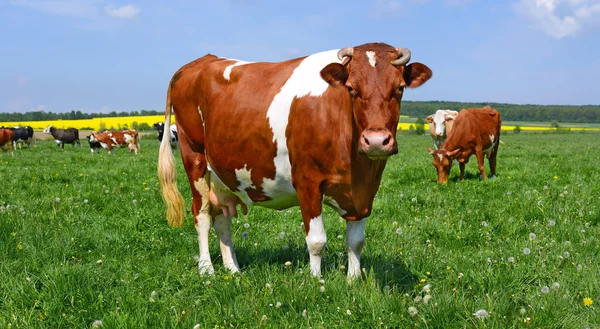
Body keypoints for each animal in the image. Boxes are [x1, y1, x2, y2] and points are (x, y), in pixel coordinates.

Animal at [157, 41, 434, 278]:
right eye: (352, 88)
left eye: (400, 88)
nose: (376, 141)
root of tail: (198, 62)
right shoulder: (307, 182)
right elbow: (316, 240)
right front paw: (316, 281)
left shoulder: (365, 190)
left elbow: (355, 241)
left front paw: (353, 281)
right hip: (194, 158)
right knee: (202, 214)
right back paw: (207, 269)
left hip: (222, 174)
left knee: (222, 217)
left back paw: (233, 270)